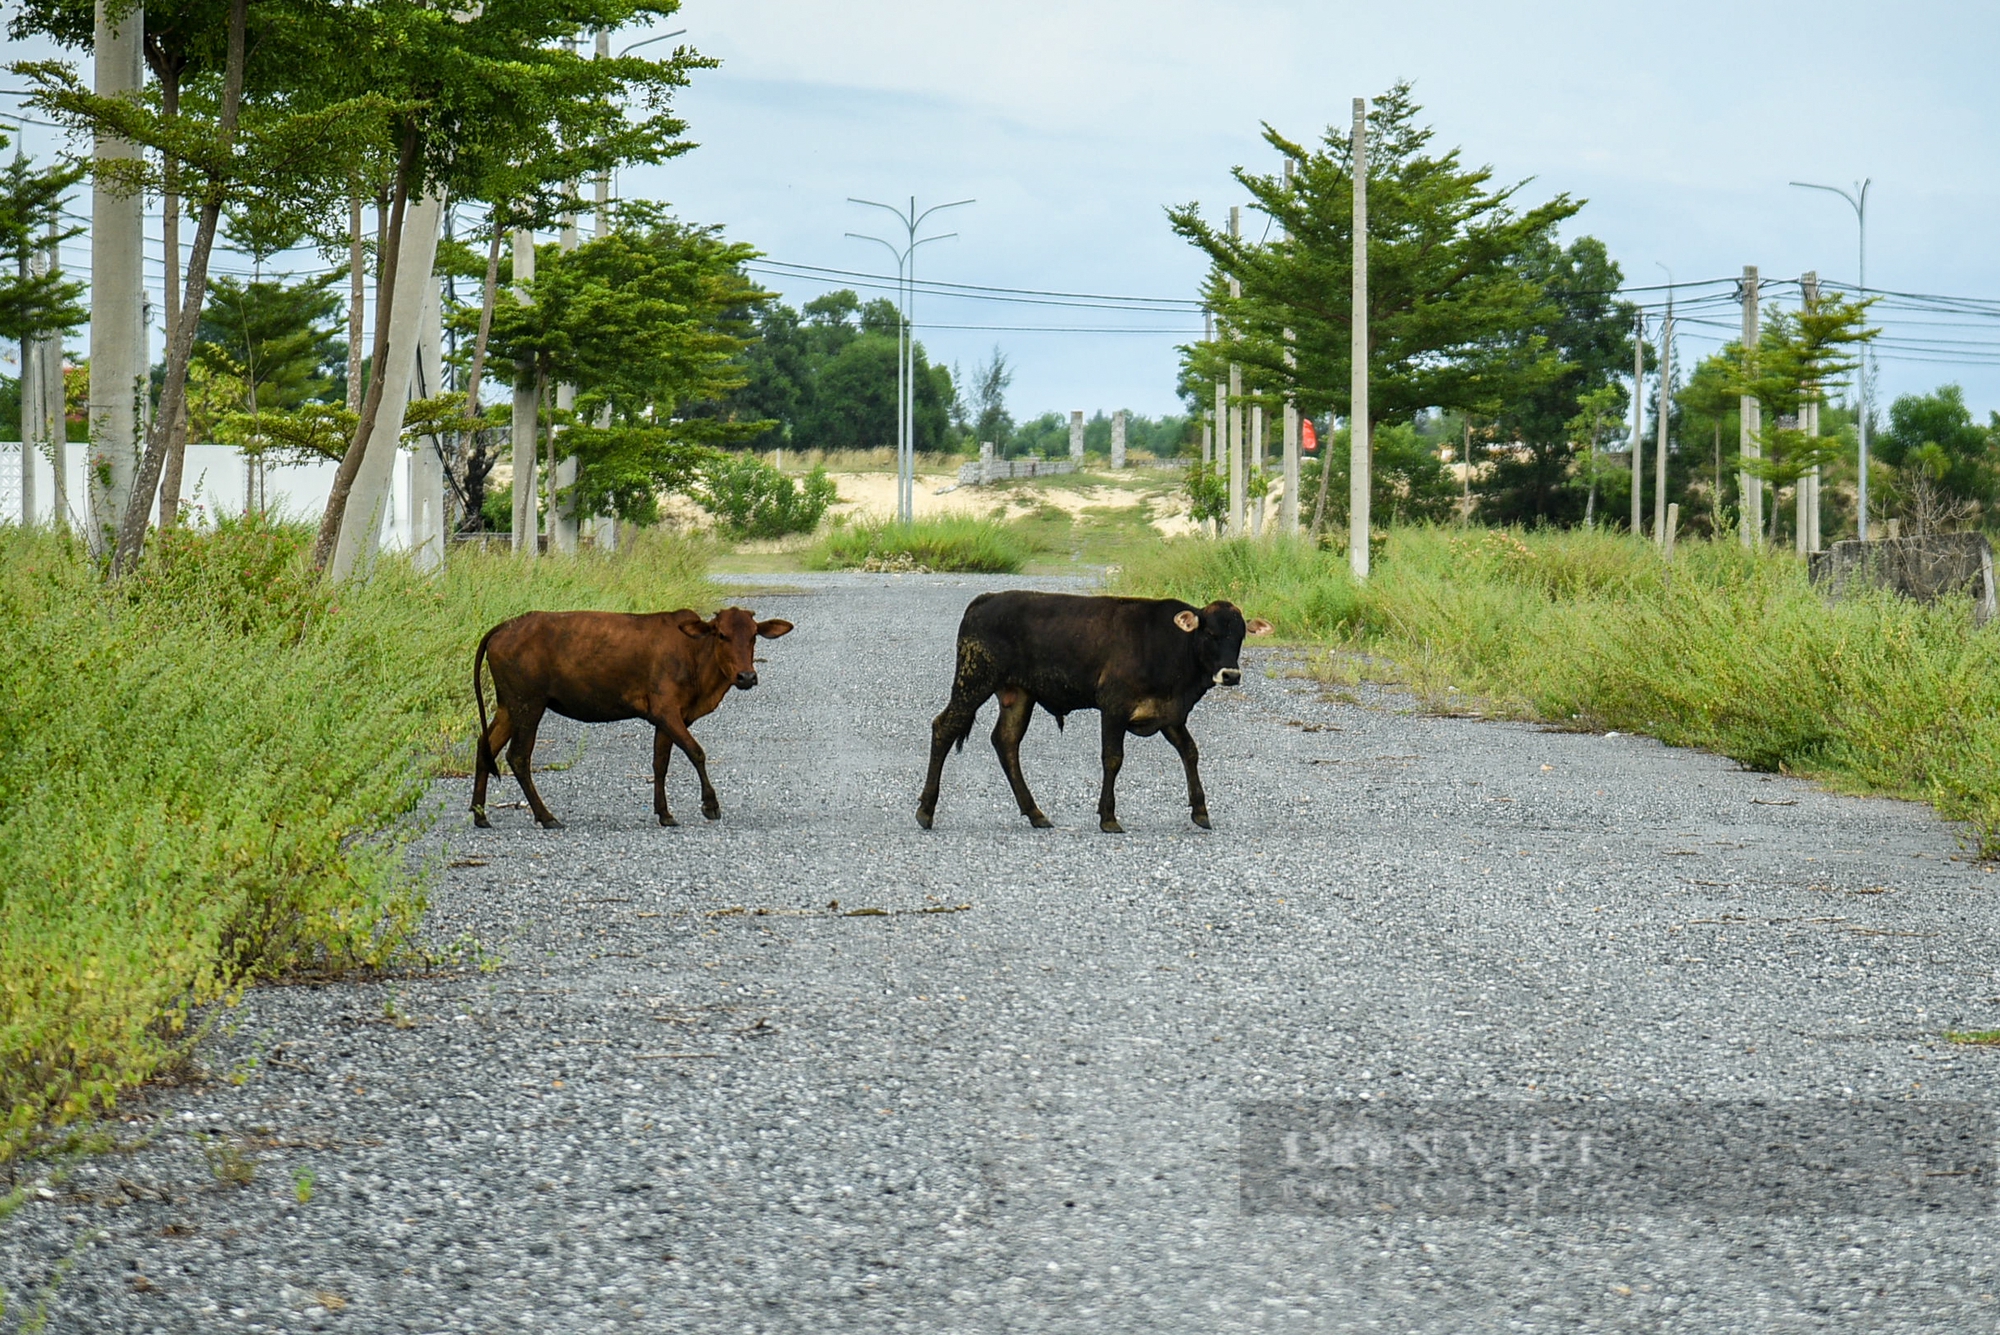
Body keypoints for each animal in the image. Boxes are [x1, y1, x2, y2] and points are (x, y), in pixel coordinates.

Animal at [468, 603, 788, 823]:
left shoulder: (666, 717)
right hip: (528, 704)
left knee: (485, 746)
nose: (746, 676)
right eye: (722, 634)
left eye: (754, 635)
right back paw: (546, 817)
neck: (696, 661)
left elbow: (660, 763)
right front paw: (710, 805)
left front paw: (664, 813)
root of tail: (504, 627)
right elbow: (696, 752)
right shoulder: (666, 709)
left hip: (509, 706)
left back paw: (480, 814)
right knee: (517, 756)